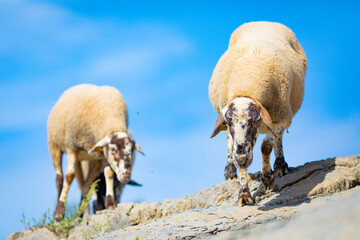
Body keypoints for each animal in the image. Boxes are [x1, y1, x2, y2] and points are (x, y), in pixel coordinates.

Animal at [47, 83, 143, 218]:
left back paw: (82, 212)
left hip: (86, 160)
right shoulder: (72, 147)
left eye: (132, 150)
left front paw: (110, 203)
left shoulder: (102, 155)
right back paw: (60, 209)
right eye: (113, 149)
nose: (126, 176)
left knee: (86, 184)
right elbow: (69, 176)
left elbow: (109, 173)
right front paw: (59, 213)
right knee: (60, 179)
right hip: (54, 145)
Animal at [208, 21, 306, 206]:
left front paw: (267, 178)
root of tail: (264, 22)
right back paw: (230, 171)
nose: (241, 159)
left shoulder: (283, 118)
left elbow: (266, 145)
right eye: (229, 122)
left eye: (255, 121)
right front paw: (243, 194)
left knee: (277, 137)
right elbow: (237, 152)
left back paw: (280, 165)